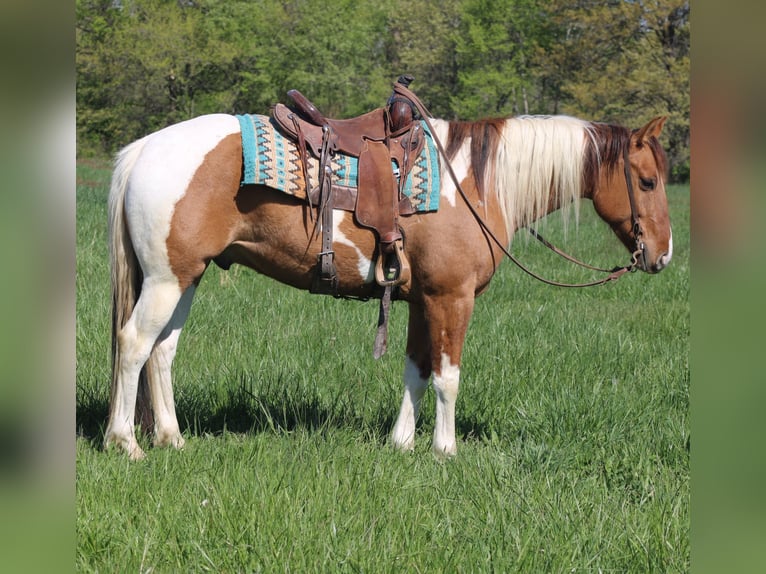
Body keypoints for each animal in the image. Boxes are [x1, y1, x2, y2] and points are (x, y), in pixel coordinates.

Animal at [106, 97, 672, 462]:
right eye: (647, 181)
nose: (663, 256)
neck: (475, 184)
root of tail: (143, 149)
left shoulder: (422, 300)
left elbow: (416, 371)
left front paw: (402, 443)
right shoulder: (451, 298)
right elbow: (447, 376)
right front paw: (445, 451)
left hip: (186, 277)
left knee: (162, 351)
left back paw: (172, 439)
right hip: (166, 280)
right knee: (134, 344)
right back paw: (126, 443)